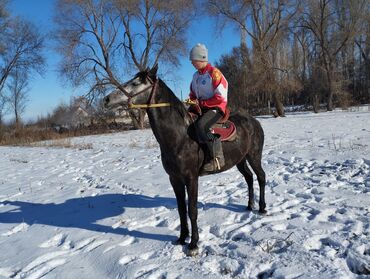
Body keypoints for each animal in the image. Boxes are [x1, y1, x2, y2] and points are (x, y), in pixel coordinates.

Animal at [103, 64, 266, 258]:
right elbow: (181, 210)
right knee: (249, 178)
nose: (106, 99)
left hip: (254, 156)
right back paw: (249, 206)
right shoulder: (175, 179)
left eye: (136, 83)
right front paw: (182, 238)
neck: (180, 136)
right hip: (240, 160)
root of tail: (254, 121)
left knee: (261, 177)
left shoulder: (191, 178)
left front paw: (193, 244)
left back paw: (262, 208)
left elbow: (192, 210)